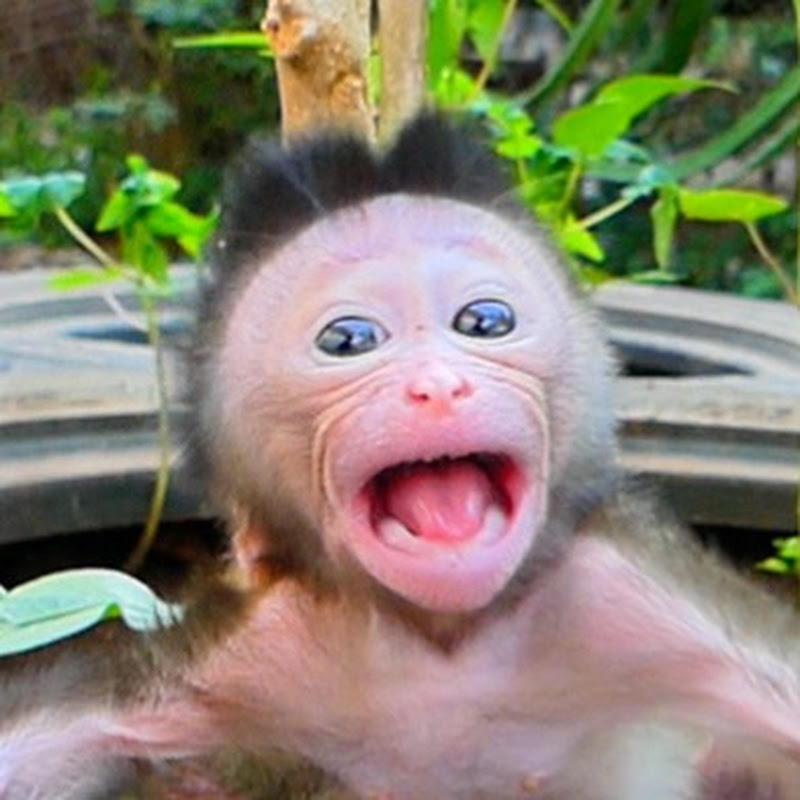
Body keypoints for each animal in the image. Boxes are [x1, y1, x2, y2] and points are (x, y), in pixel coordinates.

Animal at [2, 114, 800, 800]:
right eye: (349, 339)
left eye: (486, 321)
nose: (438, 385)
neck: (445, 650)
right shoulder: (239, 662)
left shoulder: (635, 603)